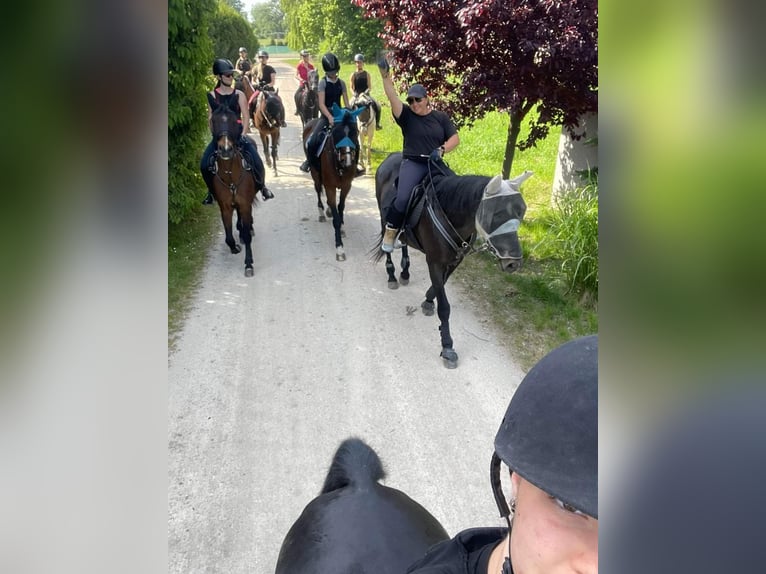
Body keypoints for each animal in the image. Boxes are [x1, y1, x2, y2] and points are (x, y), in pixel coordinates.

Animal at [207, 104, 264, 280]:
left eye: (234, 121)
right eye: (214, 121)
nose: (226, 149)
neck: (230, 175)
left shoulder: (245, 204)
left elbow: (246, 234)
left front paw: (248, 264)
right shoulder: (225, 207)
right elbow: (228, 236)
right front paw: (235, 247)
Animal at [304, 104, 366, 262]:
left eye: (354, 132)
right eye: (337, 133)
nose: (348, 161)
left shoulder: (346, 186)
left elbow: (341, 208)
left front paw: (342, 226)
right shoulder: (330, 187)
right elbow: (336, 216)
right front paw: (340, 249)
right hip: (315, 175)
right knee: (318, 190)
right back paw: (322, 212)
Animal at [376, 153, 532, 368]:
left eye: (521, 212)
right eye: (497, 214)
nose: (513, 262)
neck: (448, 212)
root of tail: (391, 157)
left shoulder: (455, 260)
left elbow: (439, 286)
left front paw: (428, 301)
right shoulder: (434, 261)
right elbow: (444, 307)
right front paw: (447, 346)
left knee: (404, 242)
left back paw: (405, 273)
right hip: (384, 218)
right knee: (388, 244)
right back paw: (391, 275)